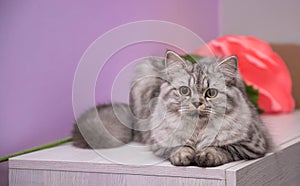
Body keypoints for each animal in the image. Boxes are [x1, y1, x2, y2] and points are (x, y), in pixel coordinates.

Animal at [72, 50, 272, 167]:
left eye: (211, 93)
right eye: (185, 91)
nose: (197, 103)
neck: (198, 130)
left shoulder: (253, 143)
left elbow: (225, 148)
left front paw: (207, 154)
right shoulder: (158, 141)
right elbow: (177, 146)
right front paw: (184, 155)